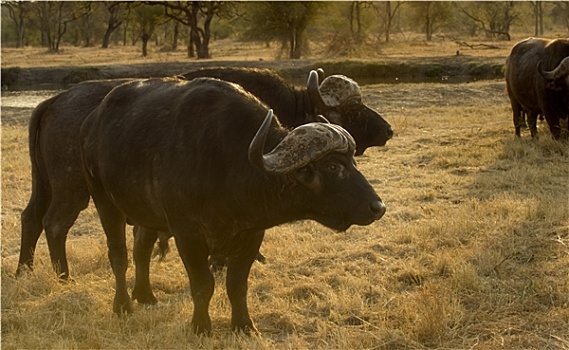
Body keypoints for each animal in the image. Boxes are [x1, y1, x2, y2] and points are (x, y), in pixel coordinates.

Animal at [79, 76, 386, 334]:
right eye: (333, 166)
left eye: (352, 162)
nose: (378, 207)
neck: (227, 162)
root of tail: (92, 123)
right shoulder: (187, 233)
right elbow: (203, 284)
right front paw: (201, 327)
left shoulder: (251, 233)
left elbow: (237, 284)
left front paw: (244, 325)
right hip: (105, 201)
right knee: (119, 255)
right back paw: (122, 305)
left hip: (147, 213)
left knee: (141, 247)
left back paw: (144, 294)